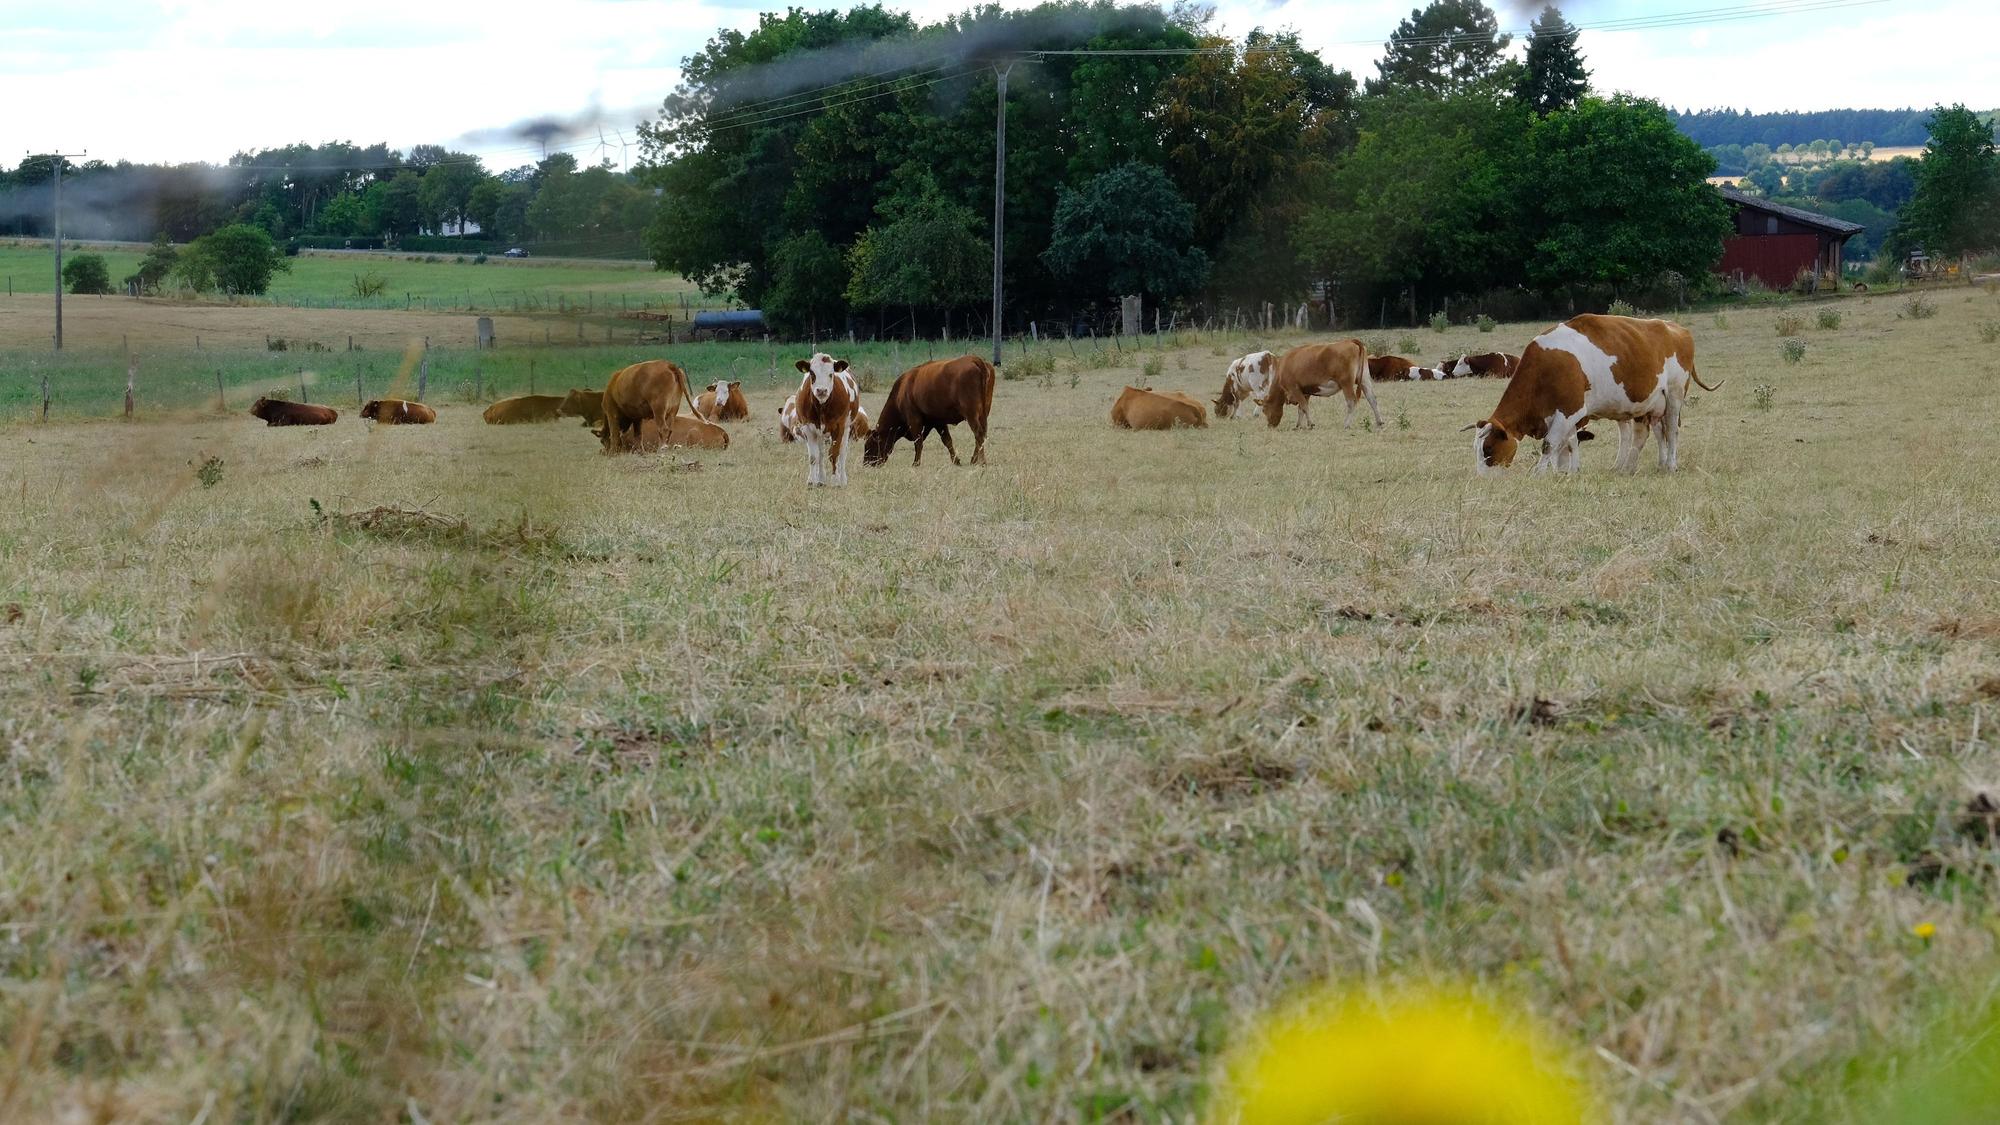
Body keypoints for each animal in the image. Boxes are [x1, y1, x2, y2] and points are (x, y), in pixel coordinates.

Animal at [792, 353, 863, 486]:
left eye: (831, 374)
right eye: (812, 373)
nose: (821, 390)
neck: (822, 406)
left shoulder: (839, 427)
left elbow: (834, 454)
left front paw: (835, 480)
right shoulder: (808, 427)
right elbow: (813, 457)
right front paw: (812, 481)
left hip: (846, 428)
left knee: (842, 452)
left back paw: (842, 479)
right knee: (820, 453)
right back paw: (820, 479)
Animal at [862, 354, 995, 467]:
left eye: (869, 445)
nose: (866, 464)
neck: (902, 390)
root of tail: (975, 359)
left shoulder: (914, 419)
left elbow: (918, 442)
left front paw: (916, 463)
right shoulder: (937, 421)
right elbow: (947, 440)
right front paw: (956, 461)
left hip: (971, 414)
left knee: (978, 434)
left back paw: (982, 462)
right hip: (983, 414)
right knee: (982, 434)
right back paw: (974, 460)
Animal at [1464, 314, 1718, 474]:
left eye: (1488, 449)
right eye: (1476, 449)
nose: (1482, 479)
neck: (1545, 368)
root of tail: (1676, 328)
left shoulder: (1570, 409)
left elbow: (1550, 444)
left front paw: (1540, 473)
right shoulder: (1567, 415)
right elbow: (1569, 443)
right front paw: (1567, 470)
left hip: (1674, 396)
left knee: (1672, 431)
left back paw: (1670, 465)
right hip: (1649, 405)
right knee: (1651, 433)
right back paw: (1644, 465)